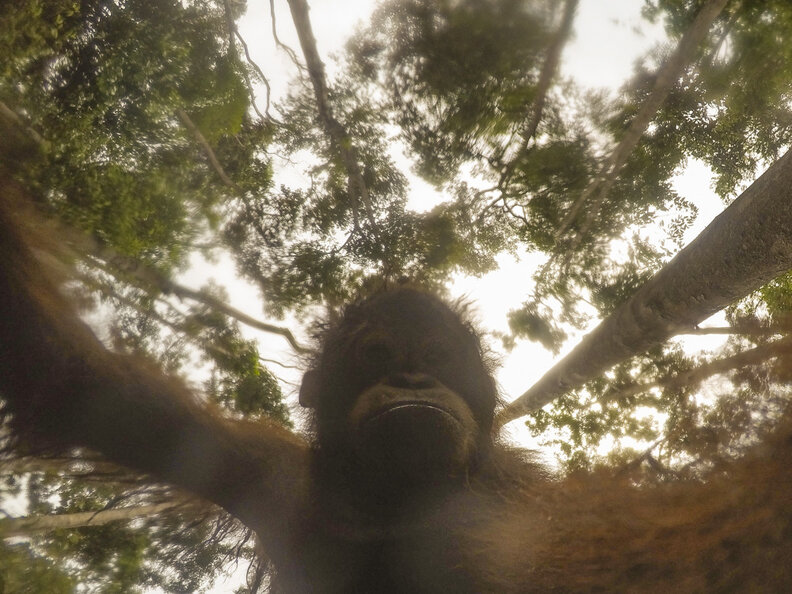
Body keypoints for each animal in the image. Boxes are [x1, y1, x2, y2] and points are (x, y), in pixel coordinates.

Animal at [2, 176, 792, 592]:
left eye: (437, 360)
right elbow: (67, 383)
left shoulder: (527, 502)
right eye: (379, 357)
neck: (400, 501)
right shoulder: (260, 466)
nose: (411, 377)